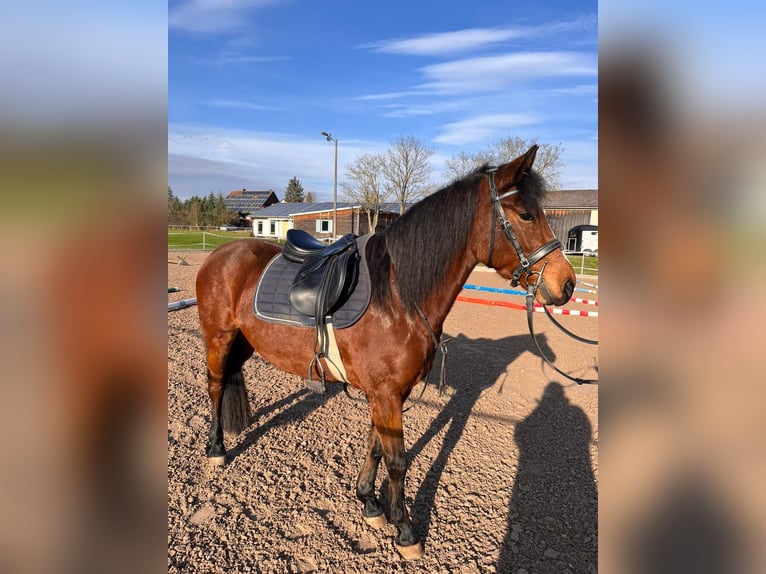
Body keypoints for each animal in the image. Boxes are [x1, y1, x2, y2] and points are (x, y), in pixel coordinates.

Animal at [196, 146, 576, 560]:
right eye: (526, 215)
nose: (567, 284)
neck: (397, 297)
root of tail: (221, 254)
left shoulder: (390, 393)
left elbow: (375, 446)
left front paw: (370, 503)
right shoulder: (385, 394)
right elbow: (397, 460)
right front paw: (405, 529)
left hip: (243, 342)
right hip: (218, 339)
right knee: (215, 387)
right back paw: (216, 448)